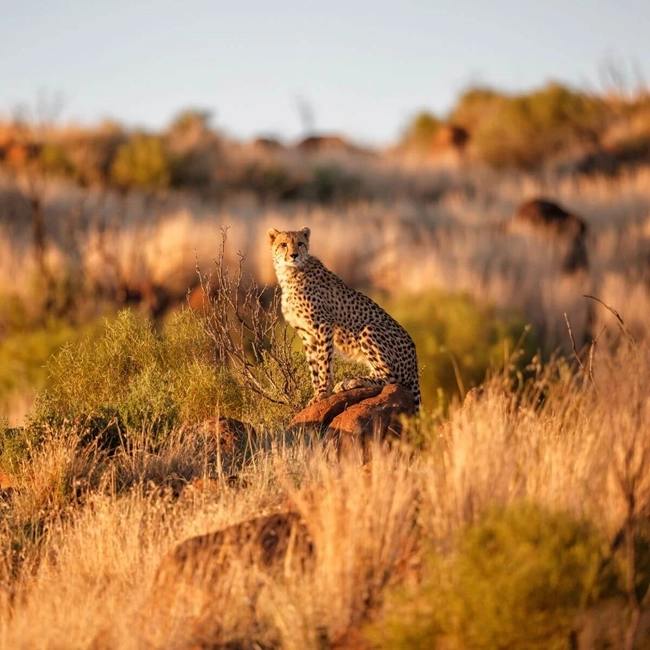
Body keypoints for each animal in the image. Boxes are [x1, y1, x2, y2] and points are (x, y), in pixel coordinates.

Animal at [268, 227, 420, 404]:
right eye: (283, 244)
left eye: (300, 243)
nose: (294, 255)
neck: (289, 273)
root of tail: (414, 360)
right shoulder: (307, 335)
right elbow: (314, 368)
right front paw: (316, 394)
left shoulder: (323, 326)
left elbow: (324, 362)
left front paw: (322, 392)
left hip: (369, 329)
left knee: (392, 377)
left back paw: (354, 381)